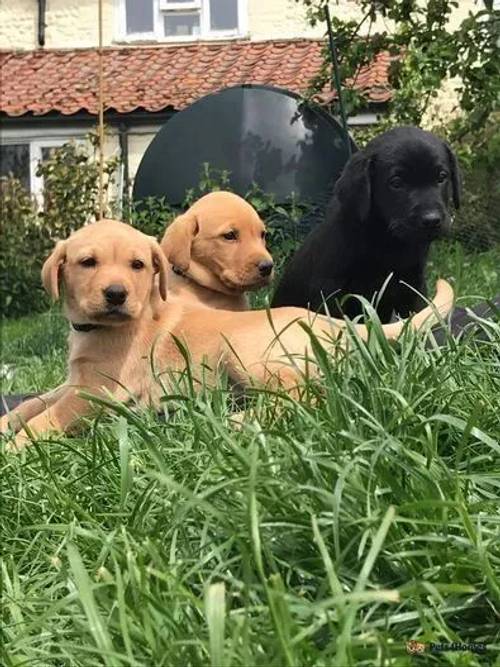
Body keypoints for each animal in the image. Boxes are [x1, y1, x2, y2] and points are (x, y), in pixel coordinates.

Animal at [0, 219, 454, 448]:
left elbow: (47, 418)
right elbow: (34, 402)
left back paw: (230, 422)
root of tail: (333, 324)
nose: (116, 295)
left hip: (245, 352)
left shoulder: (98, 391)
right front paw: (9, 424)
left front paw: (18, 446)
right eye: (88, 262)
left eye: (138, 266)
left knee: (308, 399)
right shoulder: (75, 381)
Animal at [274, 128, 460, 324]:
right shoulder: (329, 292)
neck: (387, 239)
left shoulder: (413, 286)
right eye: (396, 182)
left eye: (442, 177)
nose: (432, 220)